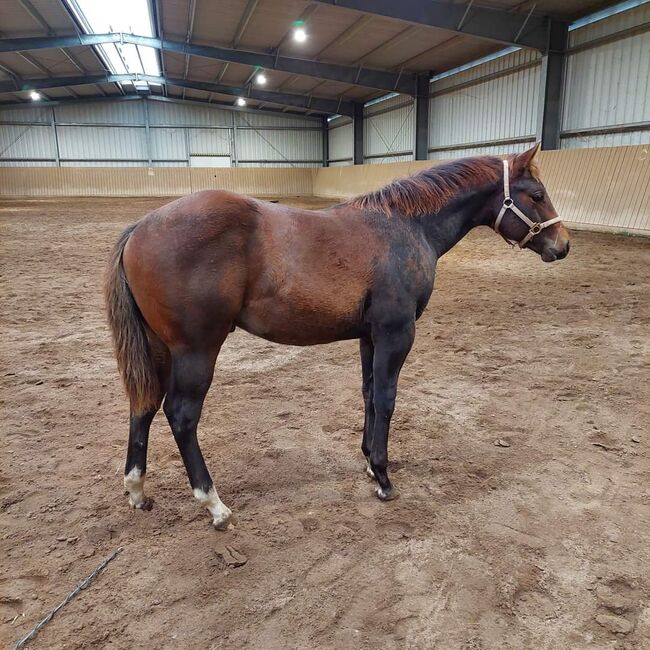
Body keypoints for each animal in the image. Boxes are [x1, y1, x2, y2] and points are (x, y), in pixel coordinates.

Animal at [105, 142, 568, 528]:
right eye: (536, 194)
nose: (562, 246)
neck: (405, 227)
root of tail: (140, 227)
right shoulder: (397, 334)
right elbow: (386, 398)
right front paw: (383, 477)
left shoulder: (370, 336)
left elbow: (368, 395)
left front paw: (368, 462)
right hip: (196, 350)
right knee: (181, 415)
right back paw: (214, 504)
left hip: (160, 349)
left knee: (143, 406)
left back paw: (137, 491)